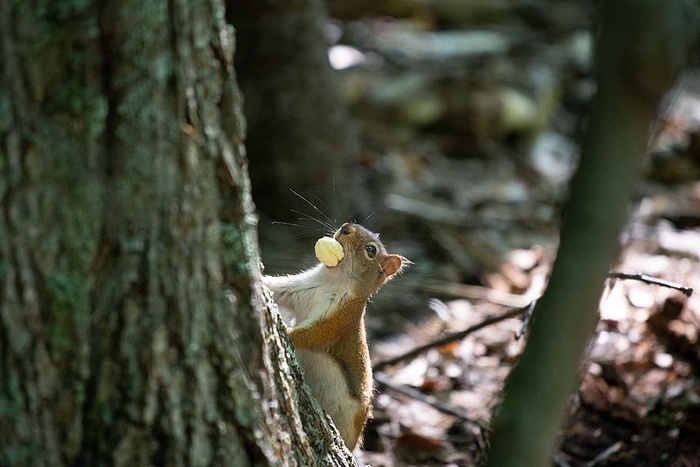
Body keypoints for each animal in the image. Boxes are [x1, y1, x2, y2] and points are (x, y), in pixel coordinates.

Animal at [262, 225, 408, 452]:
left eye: (371, 250)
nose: (346, 227)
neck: (329, 279)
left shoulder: (339, 318)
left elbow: (314, 335)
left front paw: (285, 330)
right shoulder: (298, 287)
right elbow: (275, 288)